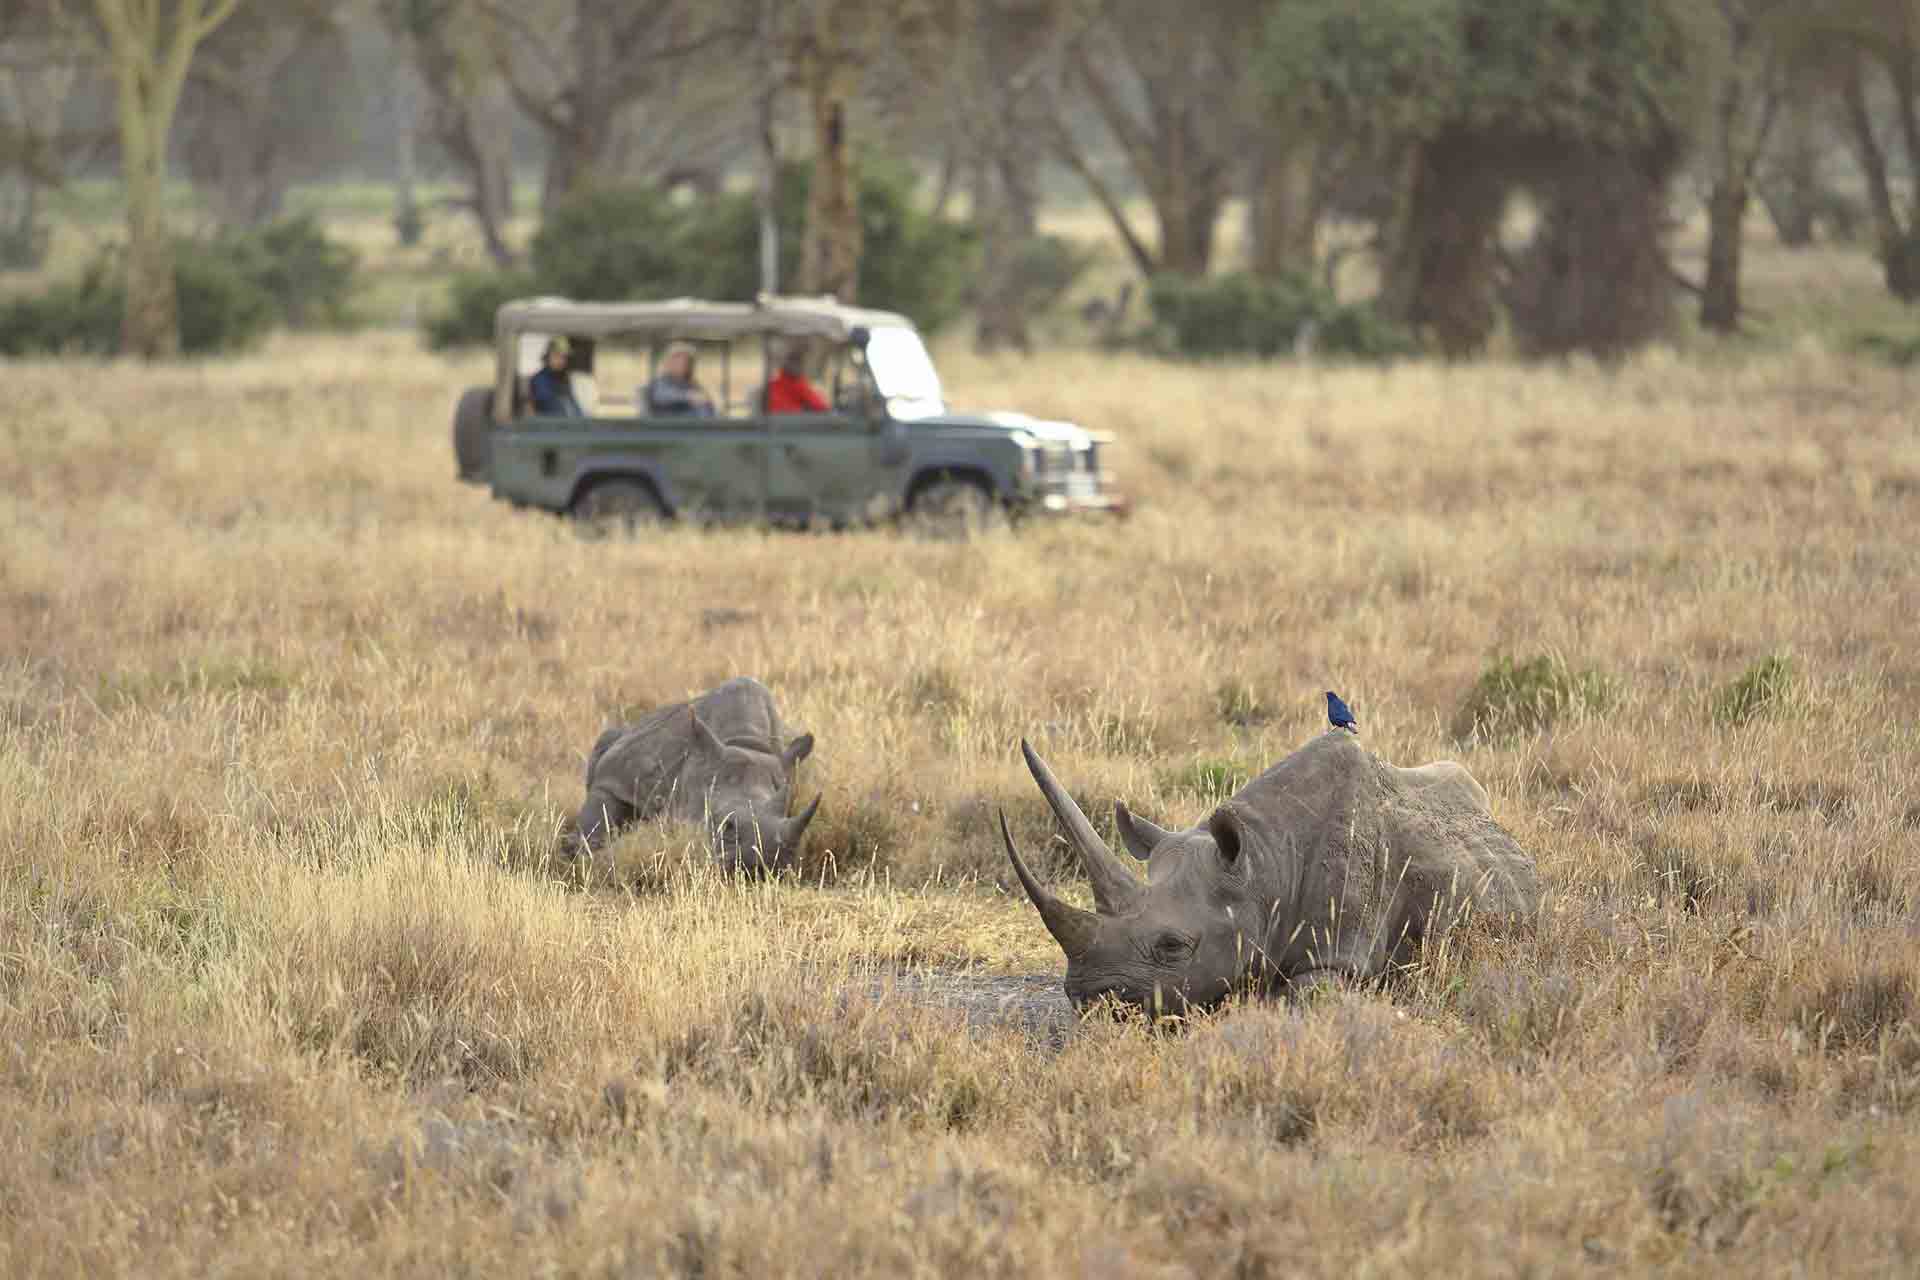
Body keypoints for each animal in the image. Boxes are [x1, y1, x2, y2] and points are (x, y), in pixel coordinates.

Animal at [575, 677, 820, 873]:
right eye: (725, 826)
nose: (763, 863)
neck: (743, 741)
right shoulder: (618, 776)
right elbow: (600, 812)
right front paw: (582, 854)